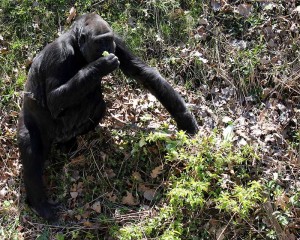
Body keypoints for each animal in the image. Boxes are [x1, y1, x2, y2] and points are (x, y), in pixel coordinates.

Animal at [17, 12, 198, 219]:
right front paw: (99, 66)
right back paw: (40, 204)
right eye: (99, 42)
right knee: (32, 152)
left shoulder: (117, 42)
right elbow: (54, 100)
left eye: (108, 40)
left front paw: (185, 120)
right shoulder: (59, 55)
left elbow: (141, 72)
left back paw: (69, 143)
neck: (77, 47)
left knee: (98, 104)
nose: (107, 49)